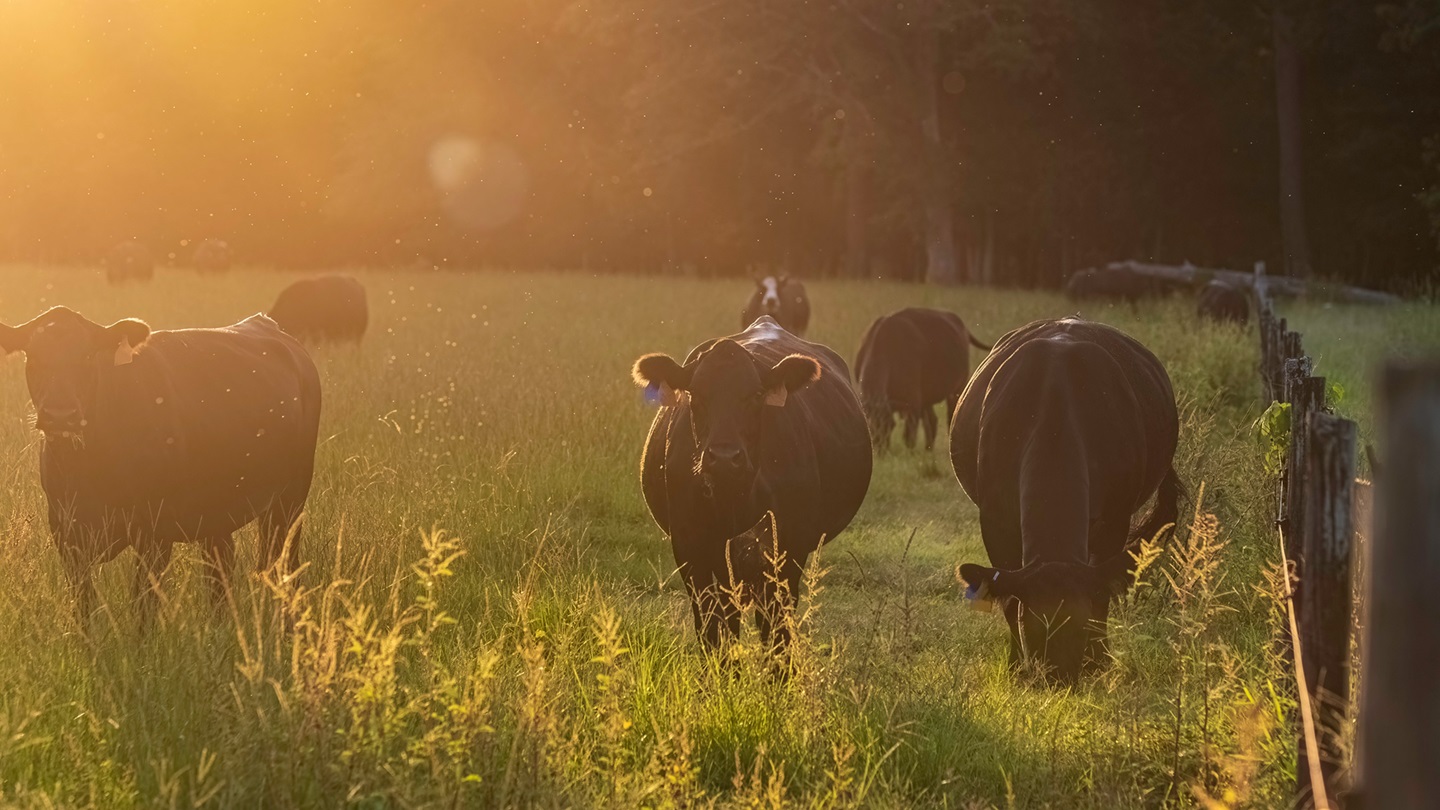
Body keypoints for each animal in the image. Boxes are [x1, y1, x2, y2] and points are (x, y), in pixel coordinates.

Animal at [0, 305, 321, 619]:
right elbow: (85, 609)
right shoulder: (67, 535)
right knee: (221, 570)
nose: (60, 414)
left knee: (282, 566)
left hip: (289, 502)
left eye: (88, 356)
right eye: (33, 357)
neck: (86, 466)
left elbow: (144, 608)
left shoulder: (154, 535)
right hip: (217, 514)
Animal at [630, 315, 864, 648]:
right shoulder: (690, 547)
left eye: (755, 396)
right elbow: (711, 628)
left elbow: (777, 631)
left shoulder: (788, 548)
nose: (724, 457)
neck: (736, 495)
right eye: (696, 394)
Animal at [852, 305, 990, 449]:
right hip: (928, 398)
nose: (880, 448)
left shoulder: (914, 405)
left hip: (957, 390)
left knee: (949, 418)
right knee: (932, 421)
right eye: (869, 427)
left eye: (890, 425)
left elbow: (909, 438)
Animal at [950, 315, 1175, 680]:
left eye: (1079, 625)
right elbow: (1009, 598)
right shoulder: (995, 520)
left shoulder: (1115, 520)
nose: (1059, 676)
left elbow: (1101, 597)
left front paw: (1098, 662)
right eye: (1033, 625)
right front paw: (1017, 666)